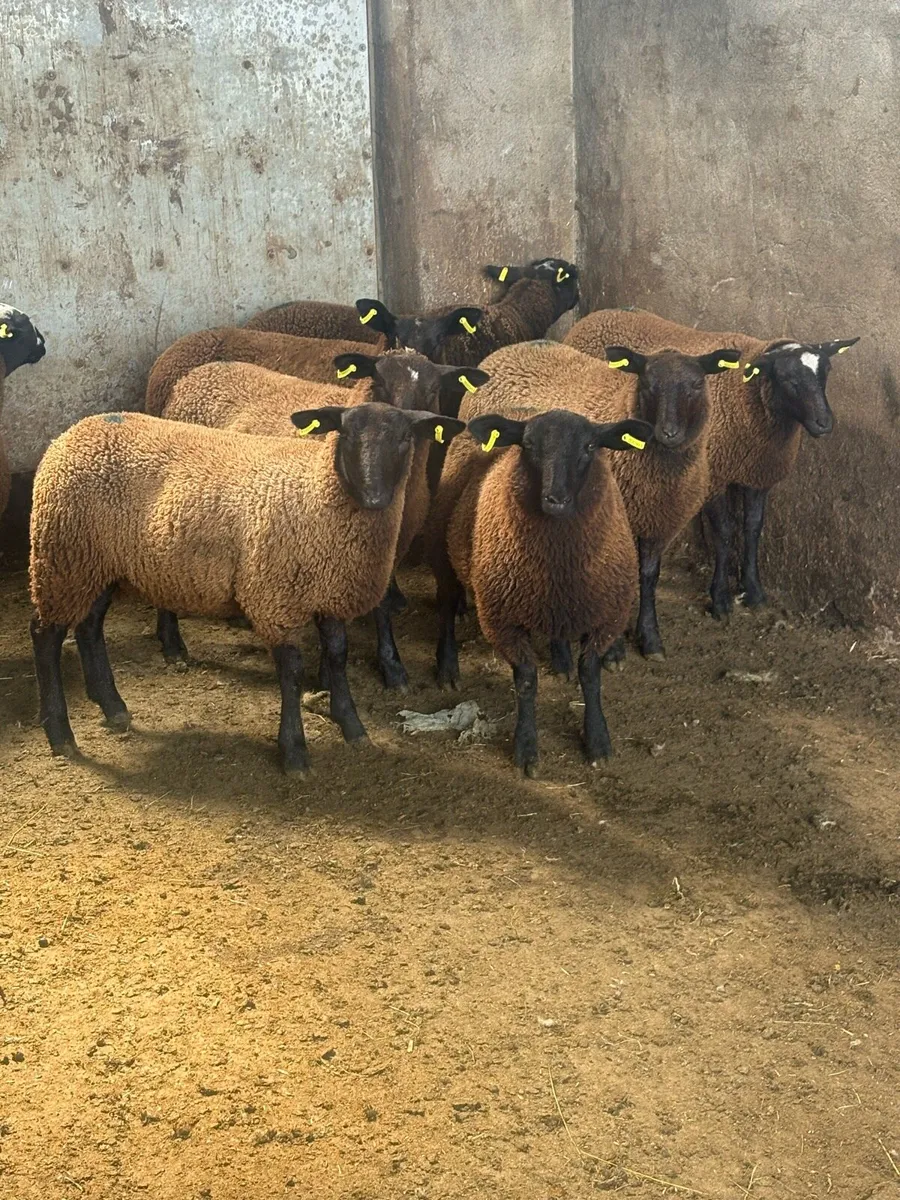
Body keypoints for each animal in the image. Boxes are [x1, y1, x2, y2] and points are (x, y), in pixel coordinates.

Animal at [29, 403, 464, 774]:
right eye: (347, 434)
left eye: (405, 438)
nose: (374, 496)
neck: (318, 491)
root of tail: (70, 434)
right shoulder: (274, 597)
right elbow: (291, 670)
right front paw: (294, 752)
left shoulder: (329, 591)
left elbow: (337, 656)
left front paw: (352, 726)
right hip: (61, 554)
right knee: (45, 635)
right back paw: (61, 735)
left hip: (97, 563)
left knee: (89, 627)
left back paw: (112, 707)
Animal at [156, 352, 489, 687]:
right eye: (379, 382)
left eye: (433, 389)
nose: (410, 417)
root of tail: (195, 374)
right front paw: (349, 671)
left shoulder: (387, 550)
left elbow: (378, 606)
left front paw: (389, 664)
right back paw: (171, 642)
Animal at [427, 373, 651, 774]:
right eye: (529, 445)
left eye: (590, 446)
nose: (556, 499)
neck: (559, 559)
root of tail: (517, 409)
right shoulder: (501, 620)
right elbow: (527, 682)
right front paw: (527, 748)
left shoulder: (606, 614)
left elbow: (590, 676)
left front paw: (597, 740)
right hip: (443, 551)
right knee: (446, 608)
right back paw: (448, 668)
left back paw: (560, 659)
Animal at [565, 308, 859, 616]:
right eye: (787, 378)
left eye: (826, 372)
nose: (824, 423)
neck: (747, 397)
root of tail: (595, 315)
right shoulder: (715, 475)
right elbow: (725, 532)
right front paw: (720, 598)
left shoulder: (758, 473)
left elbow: (753, 527)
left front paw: (753, 589)